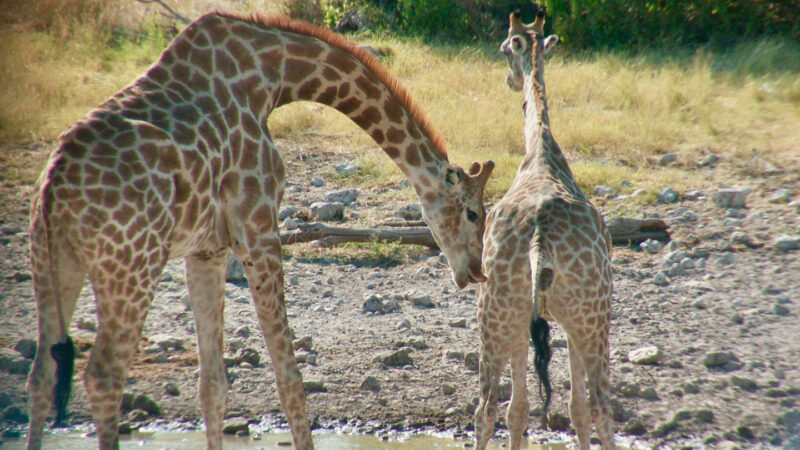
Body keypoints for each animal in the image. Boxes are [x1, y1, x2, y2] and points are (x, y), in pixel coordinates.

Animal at [26, 11, 494, 450]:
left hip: (55, 263)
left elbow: (213, 386)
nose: (475, 270)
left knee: (42, 374)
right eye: (473, 213)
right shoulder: (258, 228)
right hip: (131, 266)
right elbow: (290, 380)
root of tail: (54, 187)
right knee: (103, 376)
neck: (273, 77)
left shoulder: (208, 248)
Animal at [476, 7, 620, 450]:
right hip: (590, 316)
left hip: (500, 315)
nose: (509, 80)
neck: (540, 149)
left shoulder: (532, 319)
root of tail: (539, 242)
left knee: (487, 408)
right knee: (600, 406)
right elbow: (574, 409)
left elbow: (524, 410)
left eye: (503, 49)